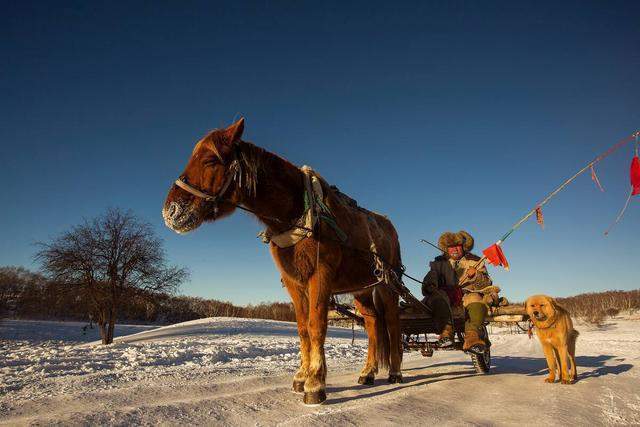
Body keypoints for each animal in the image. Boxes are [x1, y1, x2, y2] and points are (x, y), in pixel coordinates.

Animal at [162, 118, 402, 404]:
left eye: (210, 160)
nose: (171, 211)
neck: (300, 215)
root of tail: (388, 226)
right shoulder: (294, 282)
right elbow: (302, 329)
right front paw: (302, 375)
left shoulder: (321, 275)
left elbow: (316, 326)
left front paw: (315, 382)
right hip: (362, 289)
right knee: (373, 323)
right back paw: (368, 372)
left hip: (387, 285)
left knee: (392, 323)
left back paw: (395, 372)